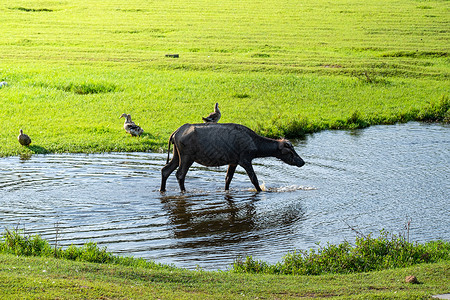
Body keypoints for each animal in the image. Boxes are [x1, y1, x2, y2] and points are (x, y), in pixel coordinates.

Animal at [160, 123, 304, 192]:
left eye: (294, 149)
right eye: (290, 151)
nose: (302, 162)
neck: (256, 146)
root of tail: (175, 133)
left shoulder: (233, 161)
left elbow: (228, 179)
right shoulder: (245, 159)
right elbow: (254, 179)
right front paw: (261, 191)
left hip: (176, 155)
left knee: (165, 170)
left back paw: (162, 189)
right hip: (187, 156)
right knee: (180, 174)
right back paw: (184, 191)